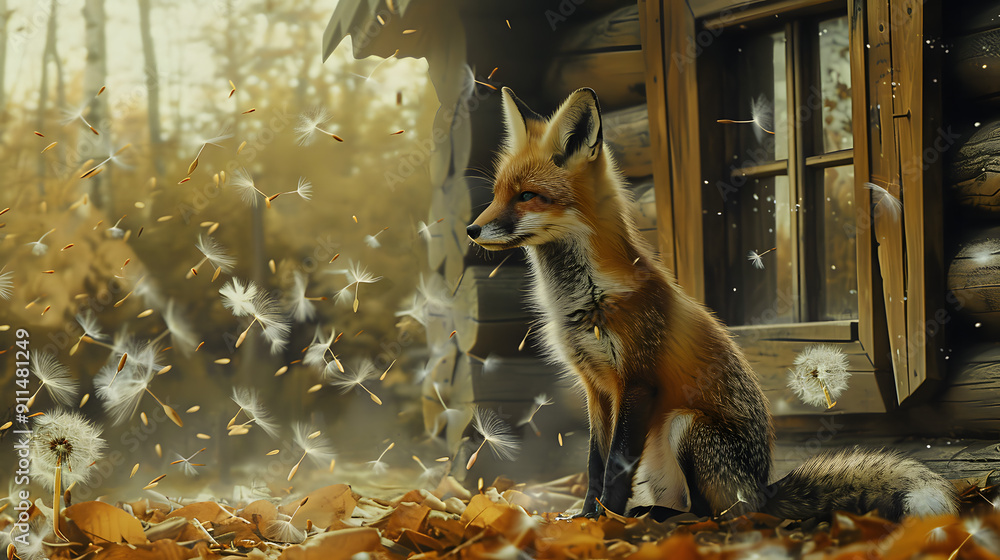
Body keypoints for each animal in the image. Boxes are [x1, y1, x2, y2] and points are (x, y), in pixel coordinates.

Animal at [466, 86, 958, 522]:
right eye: (497, 194)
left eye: (527, 196)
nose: (471, 230)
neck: (585, 295)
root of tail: (763, 489)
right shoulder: (596, 388)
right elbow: (593, 464)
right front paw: (586, 516)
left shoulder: (637, 381)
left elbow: (614, 469)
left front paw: (605, 520)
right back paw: (652, 513)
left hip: (684, 426)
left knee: (715, 515)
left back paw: (664, 519)